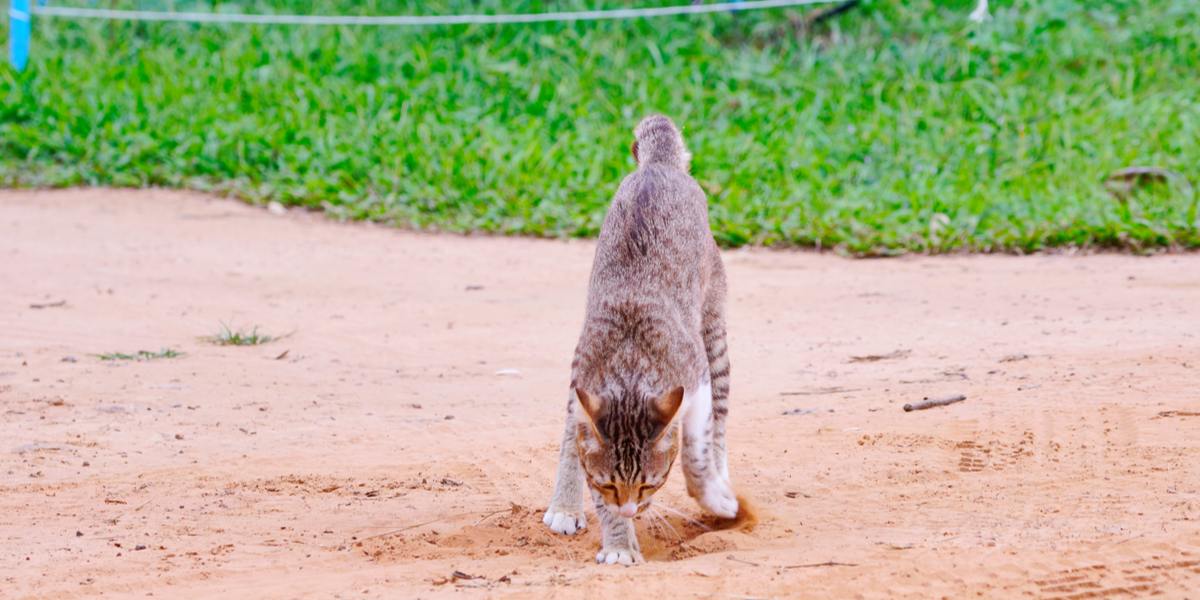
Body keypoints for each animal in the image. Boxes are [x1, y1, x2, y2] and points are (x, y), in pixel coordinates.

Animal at [542, 114, 729, 564]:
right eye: (611, 484)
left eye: (649, 482)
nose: (632, 507)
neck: (630, 374)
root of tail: (658, 165)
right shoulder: (585, 394)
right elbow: (583, 458)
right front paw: (619, 543)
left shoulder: (695, 379)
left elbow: (697, 448)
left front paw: (709, 492)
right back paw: (565, 505)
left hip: (714, 329)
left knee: (721, 415)